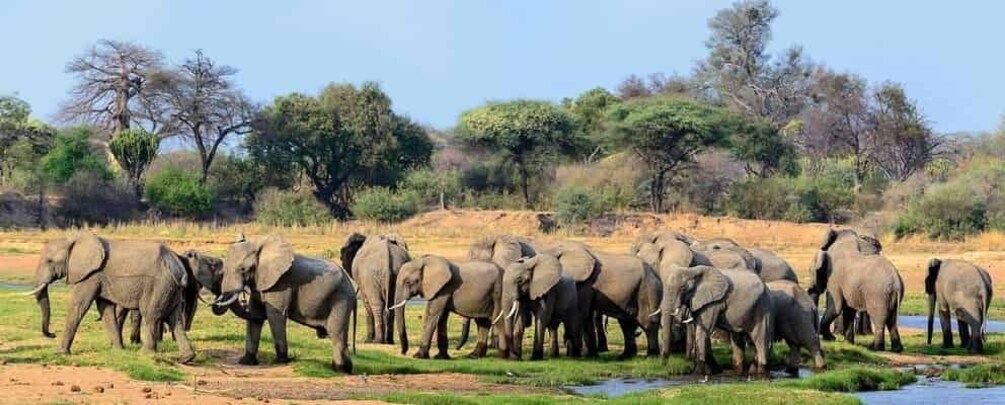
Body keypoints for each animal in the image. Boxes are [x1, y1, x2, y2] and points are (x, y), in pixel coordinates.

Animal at [25, 231, 194, 363]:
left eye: (50, 261)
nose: (52, 334)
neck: (72, 239)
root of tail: (179, 267)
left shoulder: (91, 275)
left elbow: (78, 305)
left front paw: (60, 352)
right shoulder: (99, 278)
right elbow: (105, 309)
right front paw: (118, 350)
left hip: (158, 286)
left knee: (151, 316)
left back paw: (145, 353)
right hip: (171, 288)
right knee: (174, 318)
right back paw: (186, 358)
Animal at [214, 235, 355, 373]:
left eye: (243, 269)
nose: (215, 304)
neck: (259, 243)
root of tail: (350, 285)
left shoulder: (280, 285)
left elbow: (275, 316)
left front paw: (280, 361)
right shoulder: (260, 282)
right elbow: (254, 316)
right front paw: (246, 362)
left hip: (341, 299)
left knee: (336, 333)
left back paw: (339, 370)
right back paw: (346, 369)